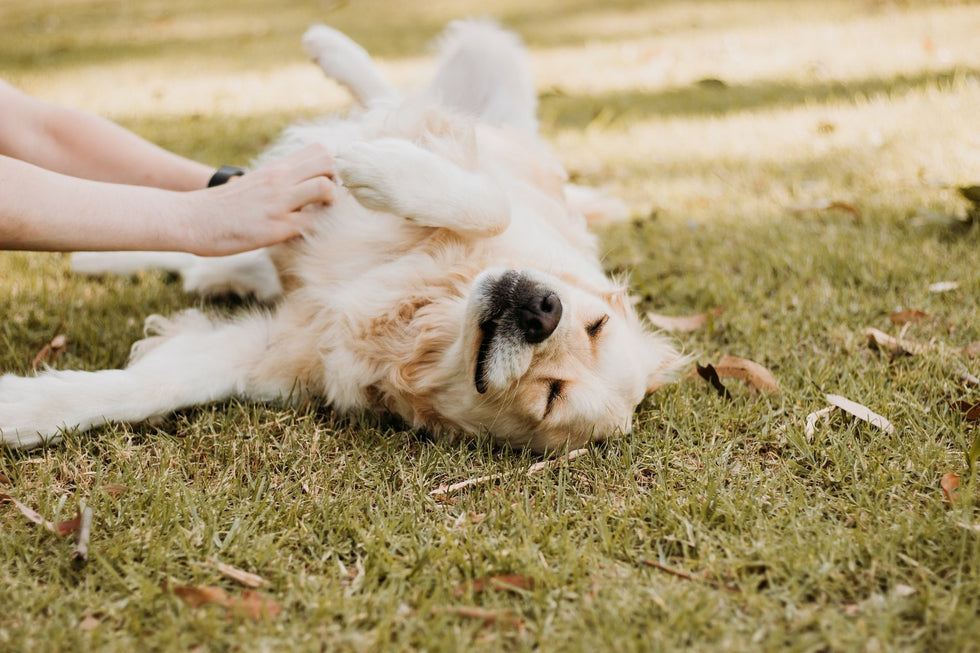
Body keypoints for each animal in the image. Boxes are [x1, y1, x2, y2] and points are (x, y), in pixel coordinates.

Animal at [0, 20, 684, 448]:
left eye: (551, 397)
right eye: (596, 324)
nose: (543, 308)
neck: (423, 313)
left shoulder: (277, 346)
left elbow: (153, 387)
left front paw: (21, 410)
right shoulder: (489, 183)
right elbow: (486, 200)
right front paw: (377, 167)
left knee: (208, 262)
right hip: (491, 59)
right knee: (390, 93)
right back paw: (332, 50)